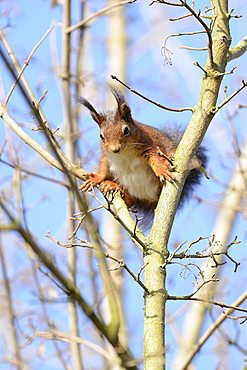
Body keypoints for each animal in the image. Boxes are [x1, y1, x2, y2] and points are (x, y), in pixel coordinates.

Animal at [76, 85, 206, 215]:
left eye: (126, 130)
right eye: (101, 136)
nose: (115, 149)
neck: (124, 152)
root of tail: (150, 199)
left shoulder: (148, 145)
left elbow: (156, 159)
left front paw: (161, 169)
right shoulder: (106, 155)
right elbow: (103, 169)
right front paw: (96, 178)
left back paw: (167, 162)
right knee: (130, 201)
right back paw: (112, 186)